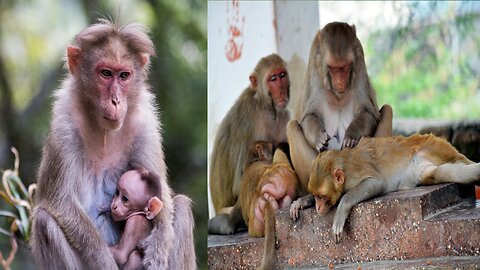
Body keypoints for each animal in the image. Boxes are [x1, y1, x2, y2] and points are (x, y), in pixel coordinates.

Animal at [30, 20, 195, 268]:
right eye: (106, 73)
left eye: (124, 75)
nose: (116, 101)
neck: (104, 131)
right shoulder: (64, 124)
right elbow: (62, 202)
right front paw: (104, 261)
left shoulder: (144, 123)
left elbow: (162, 193)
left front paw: (157, 247)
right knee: (44, 221)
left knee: (182, 206)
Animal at [209, 53, 288, 214]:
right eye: (273, 79)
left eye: (282, 75)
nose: (282, 91)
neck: (266, 106)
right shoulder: (247, 118)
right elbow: (239, 183)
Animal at [296, 134, 480, 243]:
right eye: (316, 196)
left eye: (322, 197)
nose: (318, 207)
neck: (343, 167)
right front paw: (301, 202)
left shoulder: (355, 173)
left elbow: (377, 183)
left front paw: (341, 211)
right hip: (425, 168)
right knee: (450, 173)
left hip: (435, 146)